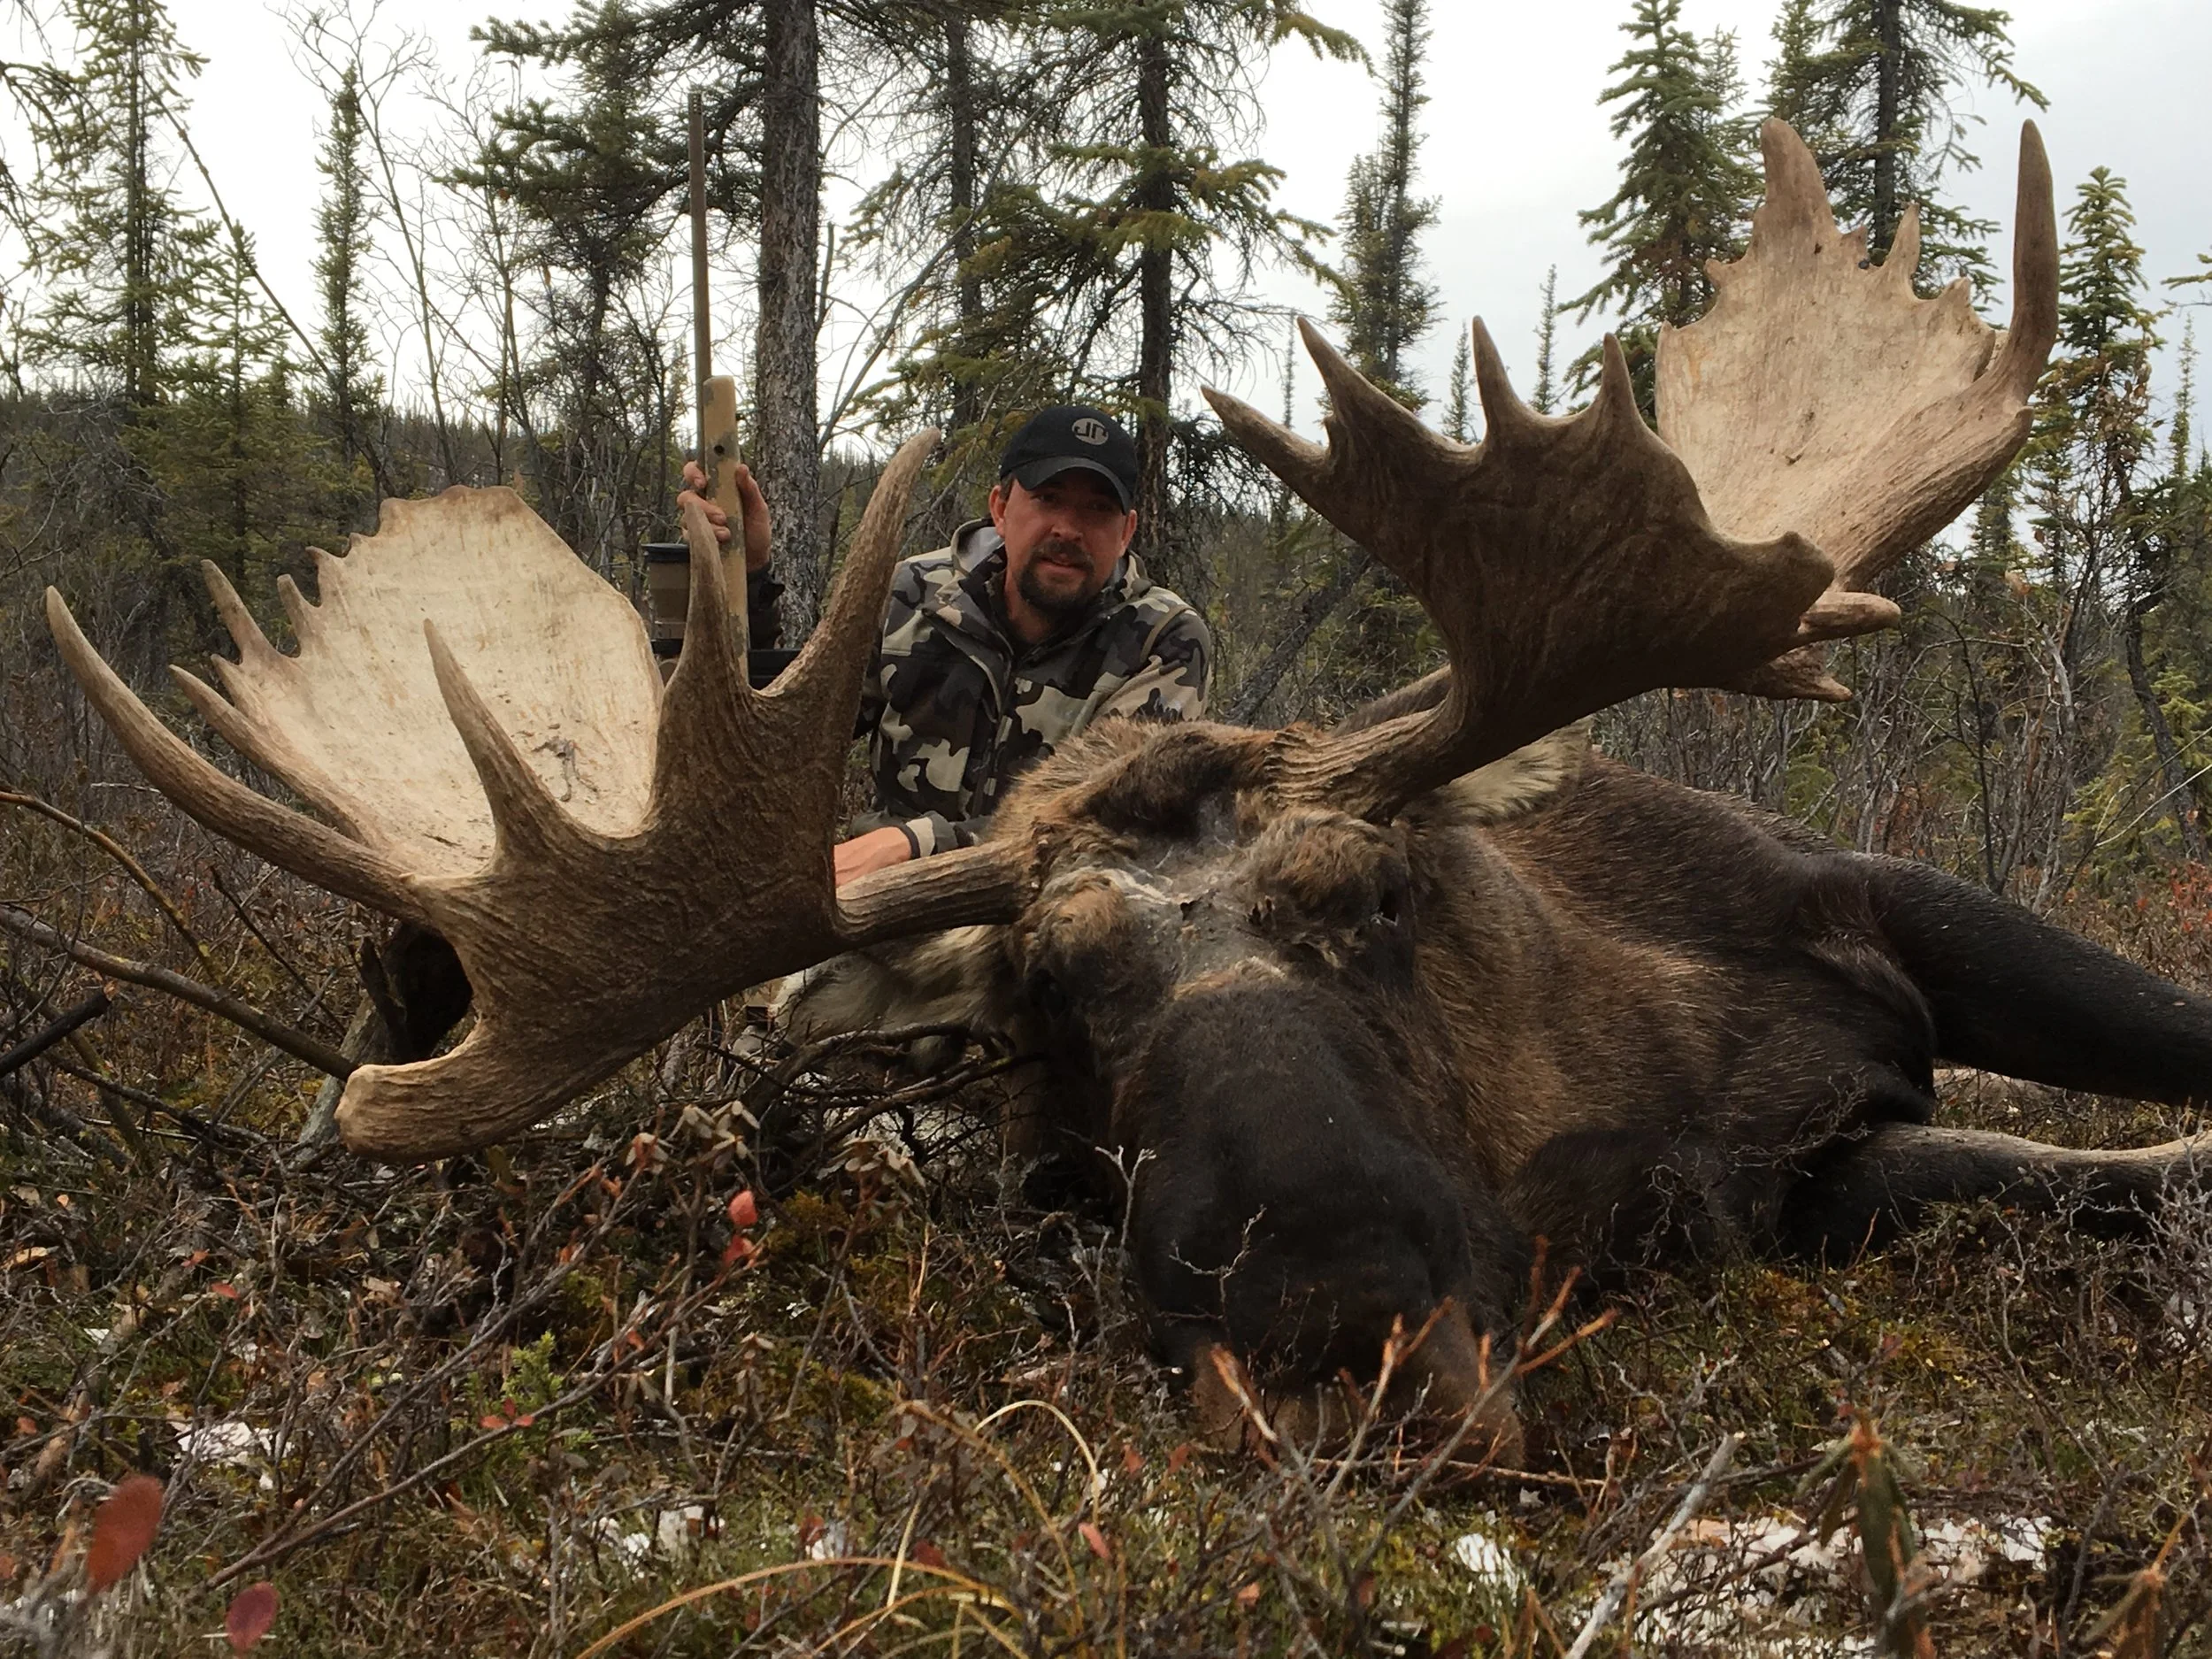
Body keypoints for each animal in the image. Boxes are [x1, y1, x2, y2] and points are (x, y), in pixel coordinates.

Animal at [43, 123, 2212, 1463]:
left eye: (1379, 892)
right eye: (1047, 1006)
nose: (1338, 1348)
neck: (1609, 1098)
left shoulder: (1872, 898)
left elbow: (2154, 1081)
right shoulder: (1807, 1184)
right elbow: (2083, 1174)